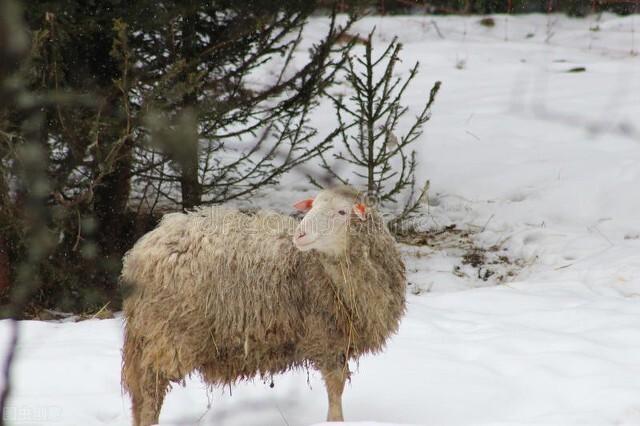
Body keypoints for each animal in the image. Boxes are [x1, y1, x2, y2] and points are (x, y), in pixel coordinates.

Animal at [121, 185, 404, 424]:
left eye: (342, 212)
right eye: (312, 207)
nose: (300, 235)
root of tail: (140, 253)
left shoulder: (339, 340)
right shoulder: (326, 337)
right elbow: (335, 389)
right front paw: (337, 421)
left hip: (147, 334)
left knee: (138, 396)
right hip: (168, 332)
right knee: (151, 392)